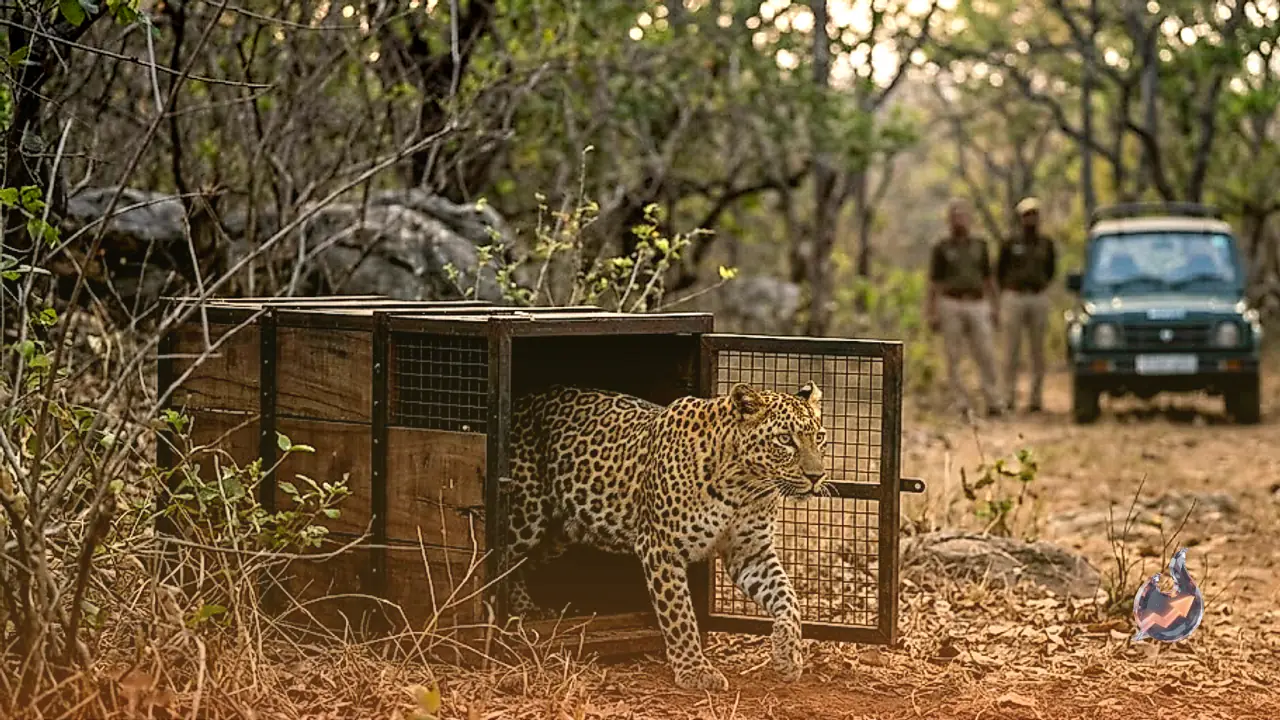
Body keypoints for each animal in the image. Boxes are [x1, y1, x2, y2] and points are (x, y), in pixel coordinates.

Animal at [501, 381, 828, 691]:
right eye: (784, 439)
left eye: (820, 437)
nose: (817, 477)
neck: (745, 485)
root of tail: (521, 400)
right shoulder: (660, 546)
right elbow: (679, 613)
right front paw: (694, 670)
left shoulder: (750, 552)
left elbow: (788, 598)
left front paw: (788, 656)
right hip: (526, 517)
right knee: (503, 556)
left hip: (558, 531)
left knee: (520, 565)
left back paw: (527, 610)